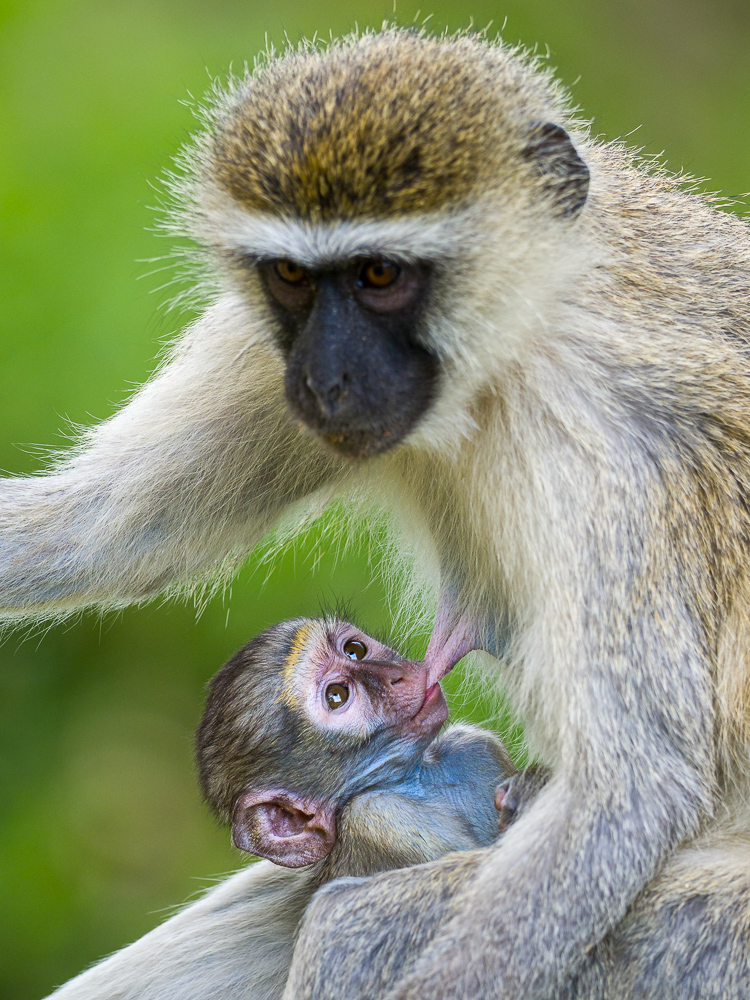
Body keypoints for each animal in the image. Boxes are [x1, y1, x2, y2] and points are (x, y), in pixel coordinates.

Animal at [48, 616, 540, 1000]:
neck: (417, 778)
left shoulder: (471, 749)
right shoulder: (381, 818)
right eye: (338, 696)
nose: (400, 674)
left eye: (355, 649)